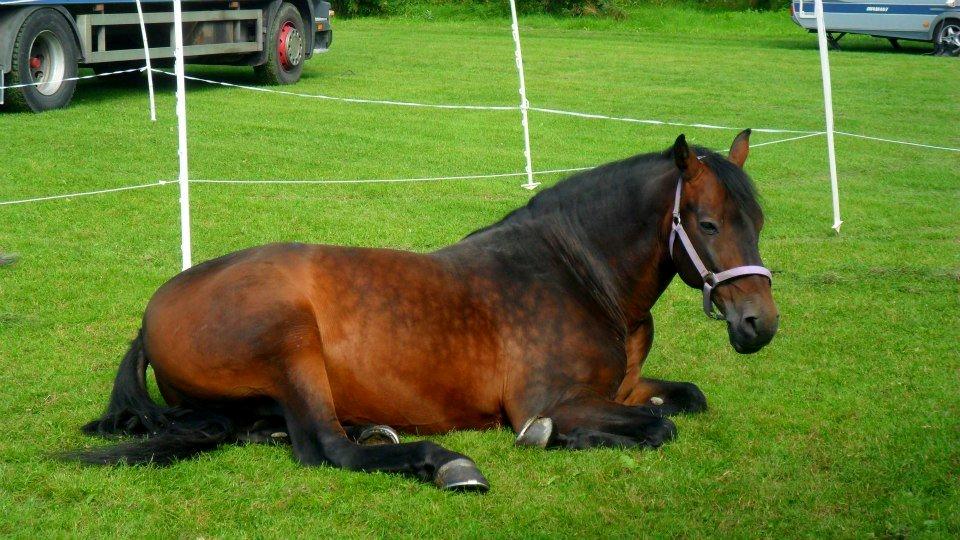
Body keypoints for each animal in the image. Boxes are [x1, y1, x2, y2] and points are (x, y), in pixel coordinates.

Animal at [67, 130, 776, 490]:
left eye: (760, 221)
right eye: (708, 224)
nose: (758, 324)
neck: (576, 274)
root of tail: (154, 311)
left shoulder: (622, 387)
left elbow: (685, 400)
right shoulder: (553, 400)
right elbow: (657, 428)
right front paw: (553, 437)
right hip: (291, 341)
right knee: (327, 450)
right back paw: (441, 463)